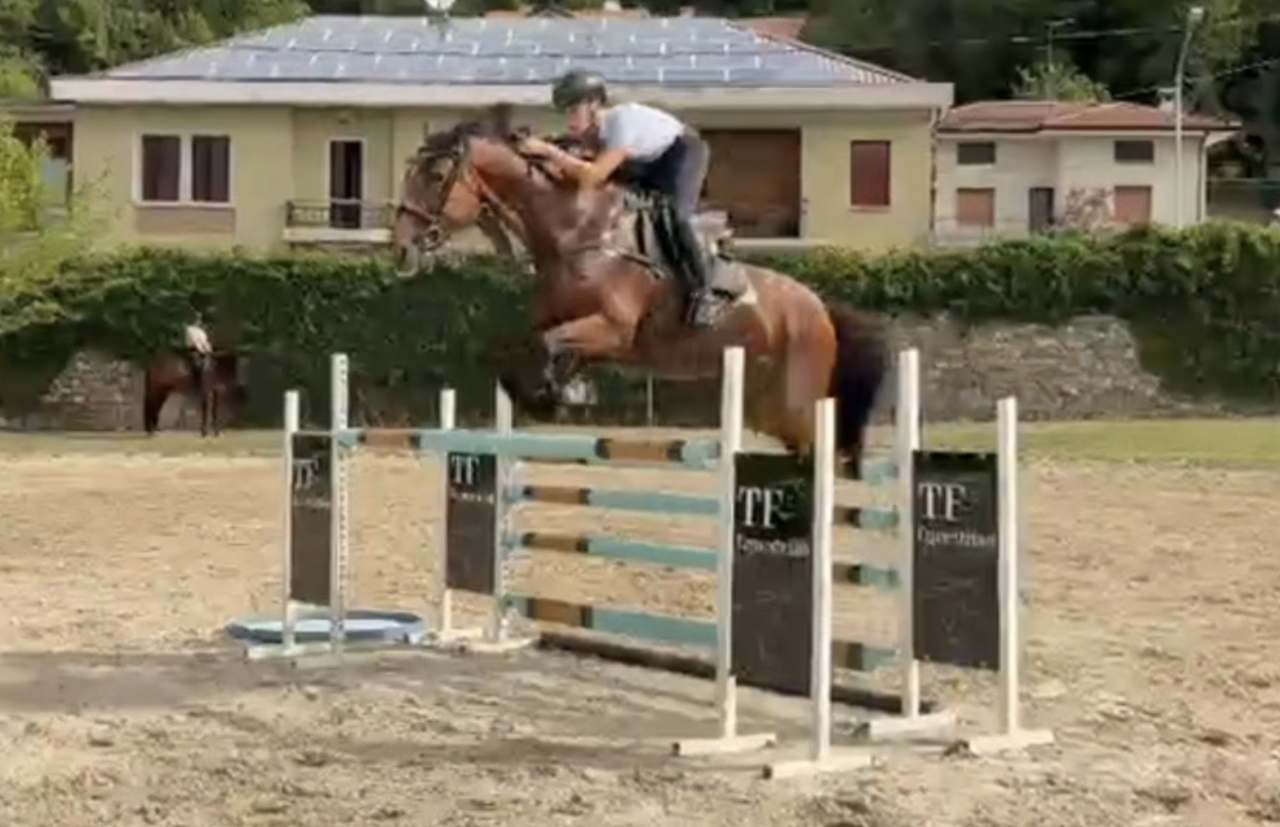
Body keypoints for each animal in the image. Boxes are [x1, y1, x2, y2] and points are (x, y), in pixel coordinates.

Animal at [392, 105, 888, 476]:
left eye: (436, 176)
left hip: (797, 400)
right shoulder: (580, 330)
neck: (576, 231)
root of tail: (821, 308)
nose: (401, 248)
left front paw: (553, 398)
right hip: (768, 408)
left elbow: (550, 343)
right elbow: (539, 346)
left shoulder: (614, 328)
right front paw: (556, 393)